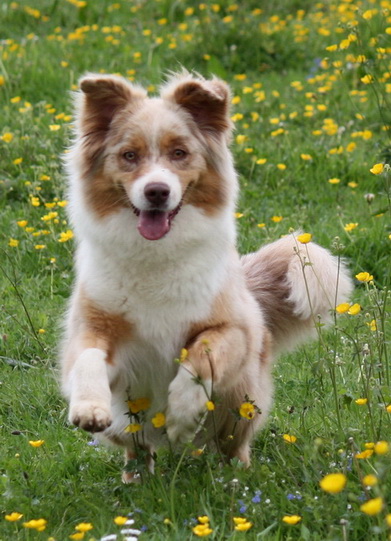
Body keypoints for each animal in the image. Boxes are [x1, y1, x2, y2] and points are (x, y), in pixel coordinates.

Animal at [59, 69, 354, 478]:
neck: (155, 257)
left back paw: (234, 478)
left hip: (241, 402)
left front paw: (182, 413)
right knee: (138, 449)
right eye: (129, 156)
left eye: (179, 153)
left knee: (233, 447)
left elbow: (201, 354)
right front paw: (88, 407)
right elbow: (86, 357)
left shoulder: (235, 328)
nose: (156, 191)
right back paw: (136, 478)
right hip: (128, 422)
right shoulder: (93, 326)